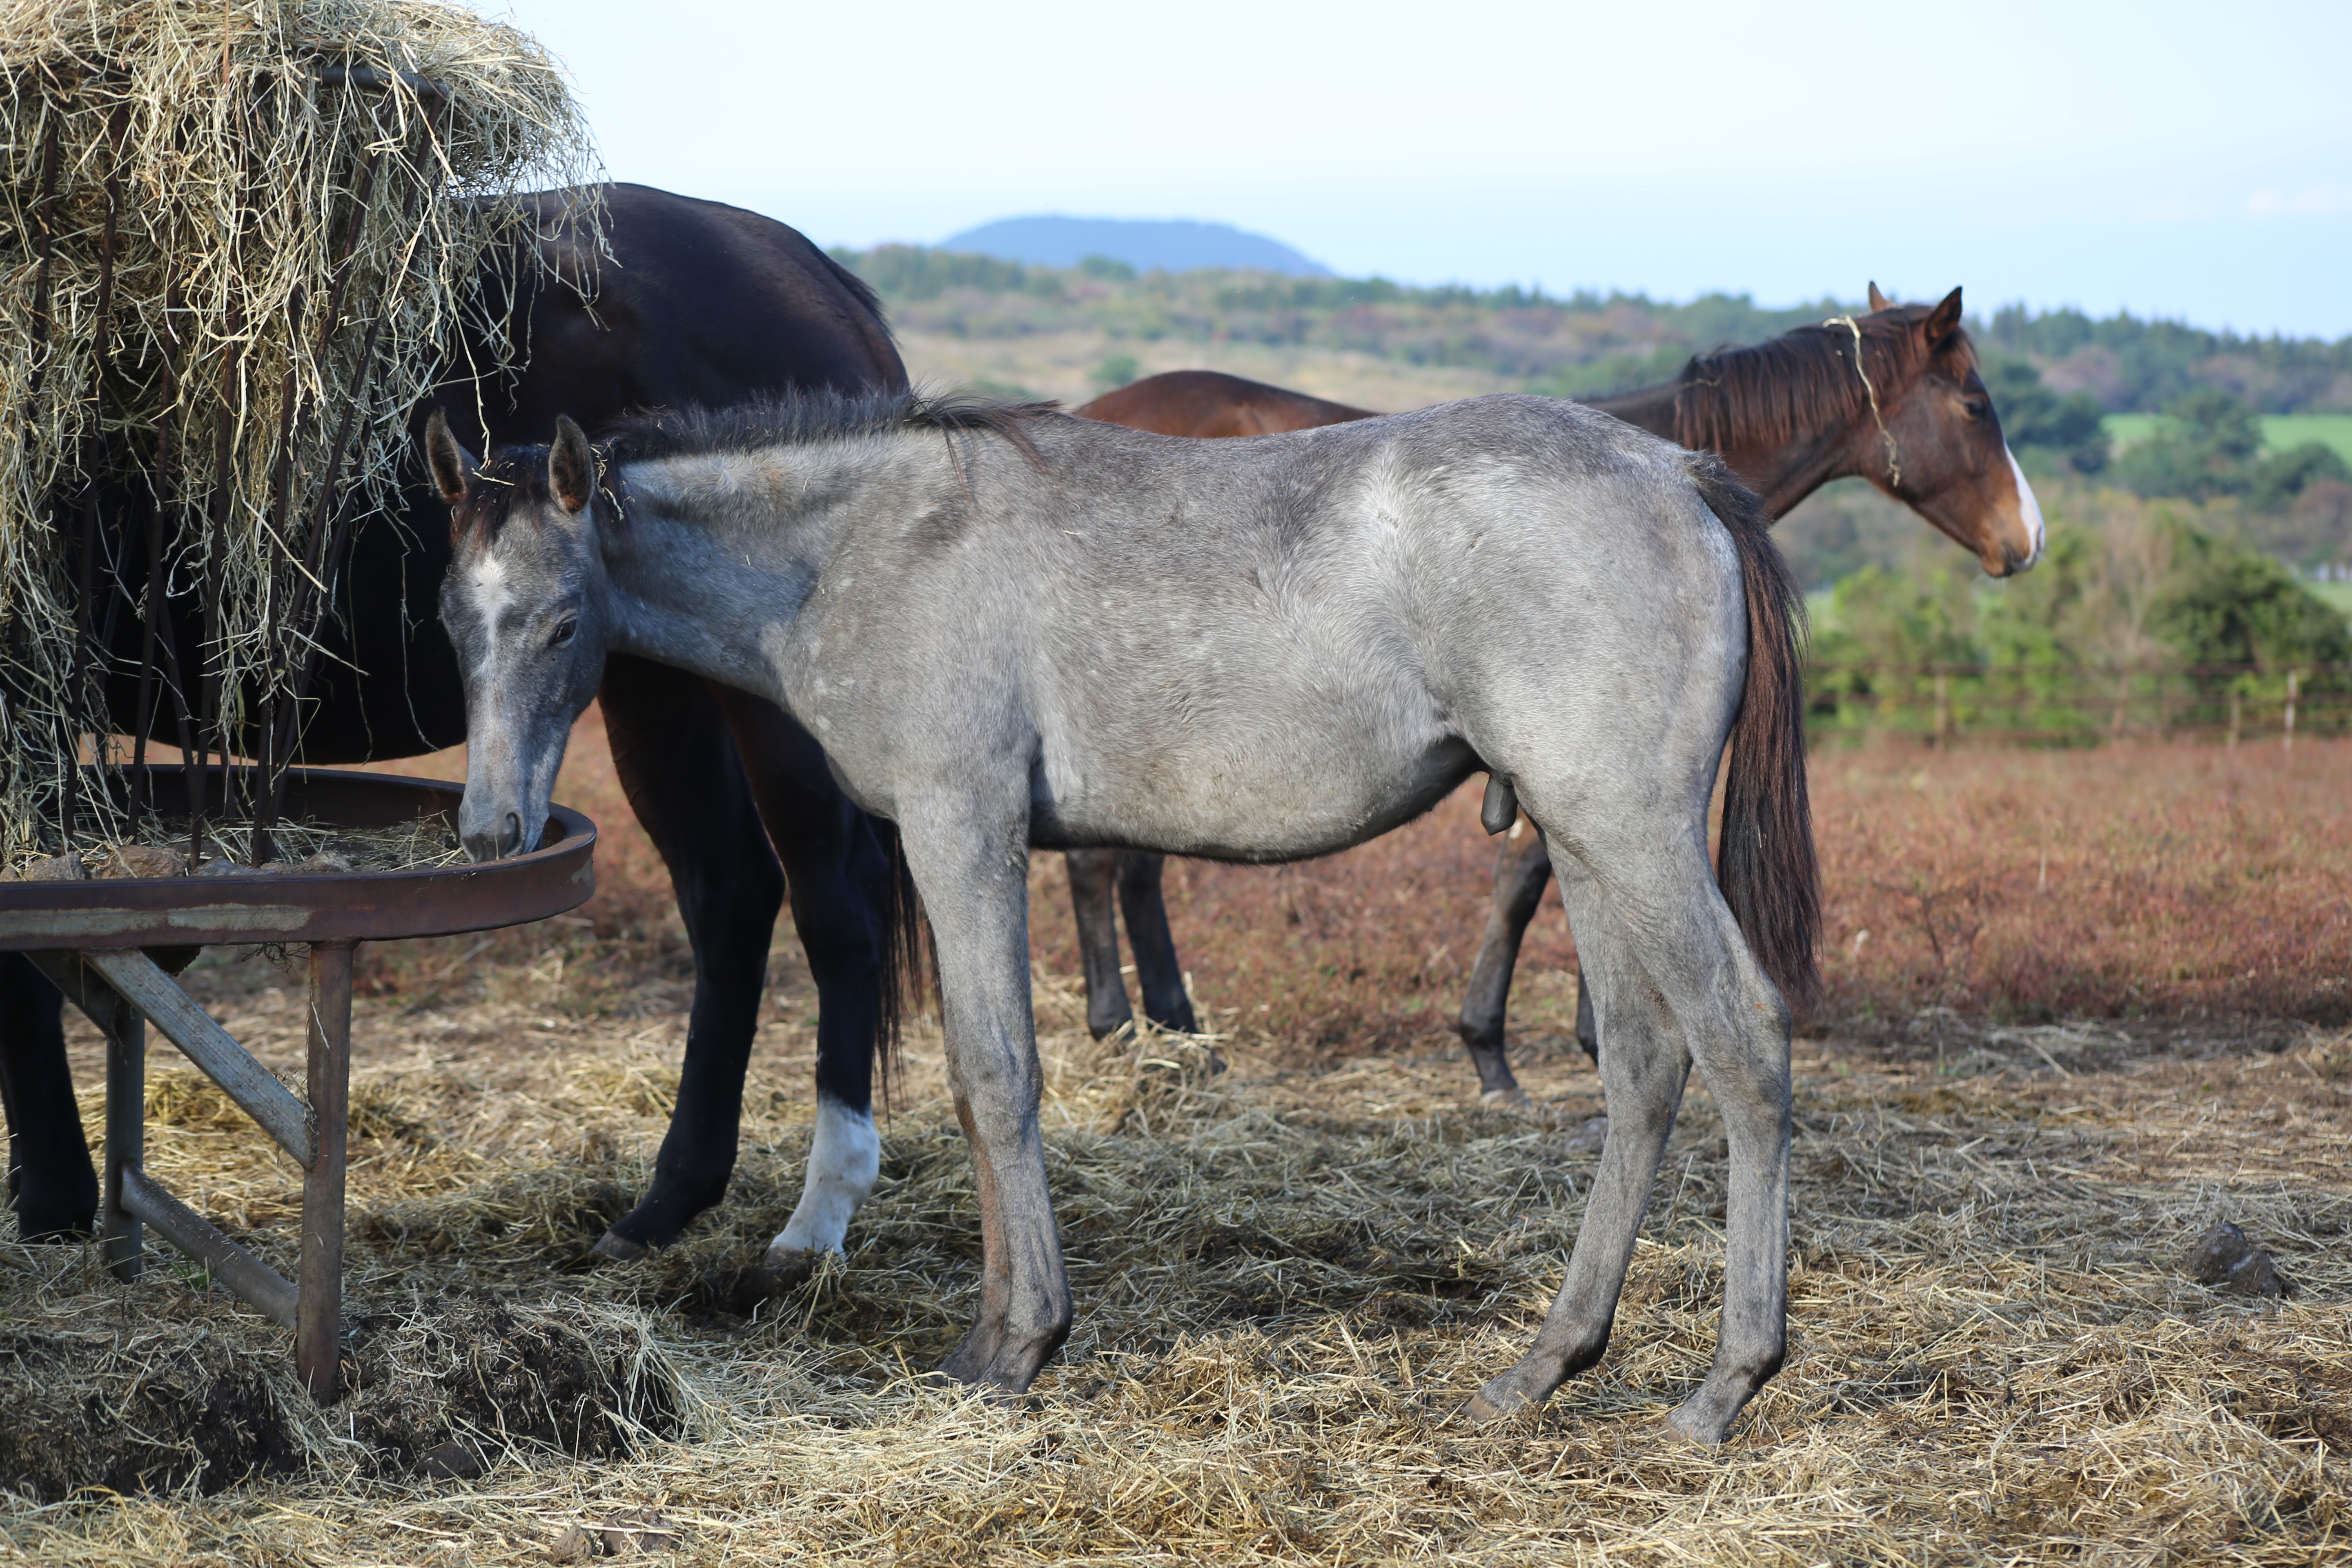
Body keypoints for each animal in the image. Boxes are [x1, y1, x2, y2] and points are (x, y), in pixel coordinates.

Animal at [0, 181, 912, 1278]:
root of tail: (816, 274)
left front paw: (53, 1197)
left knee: (835, 901)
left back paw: (816, 1221)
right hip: (660, 689)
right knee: (730, 892)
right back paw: (667, 1201)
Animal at [432, 392, 1825, 1448]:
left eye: (563, 620)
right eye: (452, 619)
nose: (492, 832)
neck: (868, 547)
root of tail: (1679, 471)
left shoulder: (963, 826)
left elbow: (1001, 1076)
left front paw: (1021, 1345)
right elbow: (972, 1083)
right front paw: (985, 1338)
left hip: (1630, 831)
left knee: (1745, 1043)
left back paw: (1727, 1383)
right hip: (1581, 841)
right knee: (1645, 1065)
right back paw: (1547, 1362)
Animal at [1068, 288, 2041, 1100]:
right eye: (1975, 406)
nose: (2026, 539)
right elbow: (1529, 879)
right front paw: (1517, 1050)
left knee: (1131, 869)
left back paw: (1180, 1037)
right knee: (1104, 866)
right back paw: (1127, 1027)